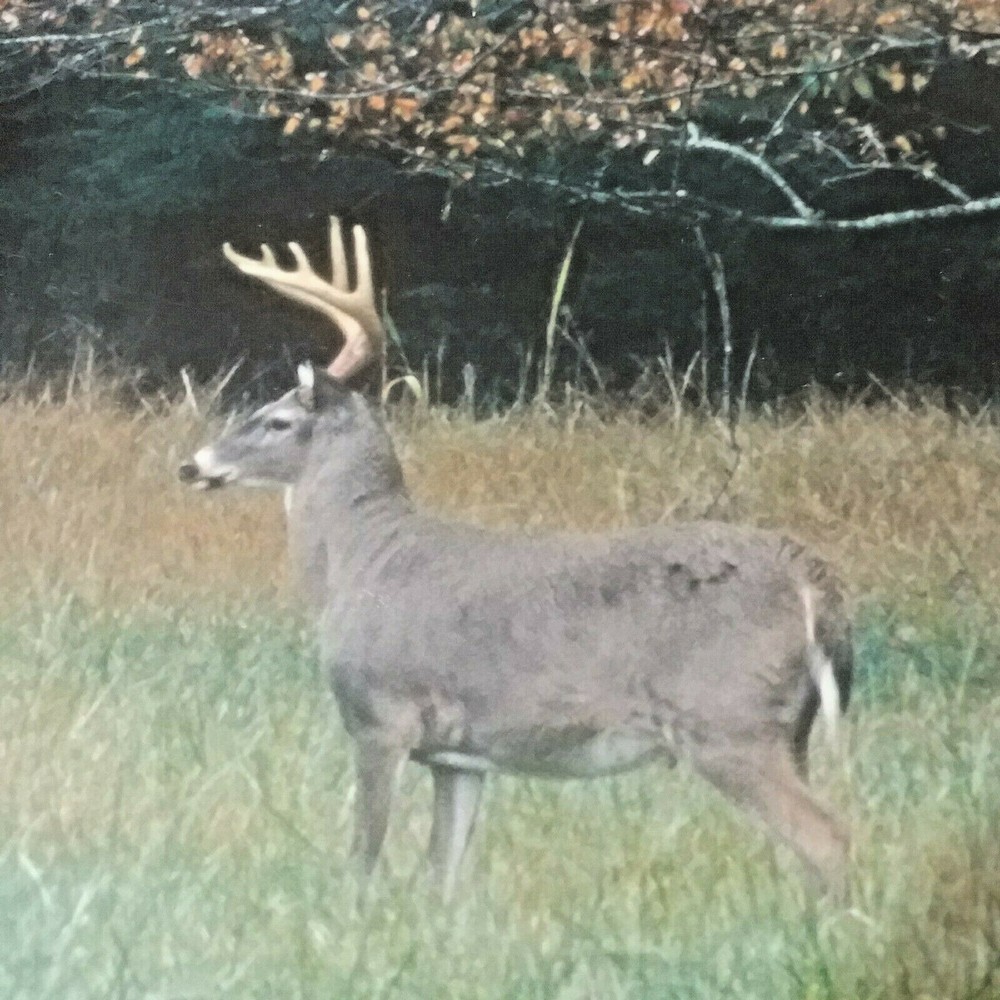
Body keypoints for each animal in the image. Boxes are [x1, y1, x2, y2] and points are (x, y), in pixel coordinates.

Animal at [179, 217, 853, 902]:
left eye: (276, 419)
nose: (193, 465)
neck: (361, 558)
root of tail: (811, 581)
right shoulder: (459, 757)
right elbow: (442, 875)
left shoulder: (380, 715)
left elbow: (362, 858)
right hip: (789, 729)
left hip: (728, 718)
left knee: (830, 838)